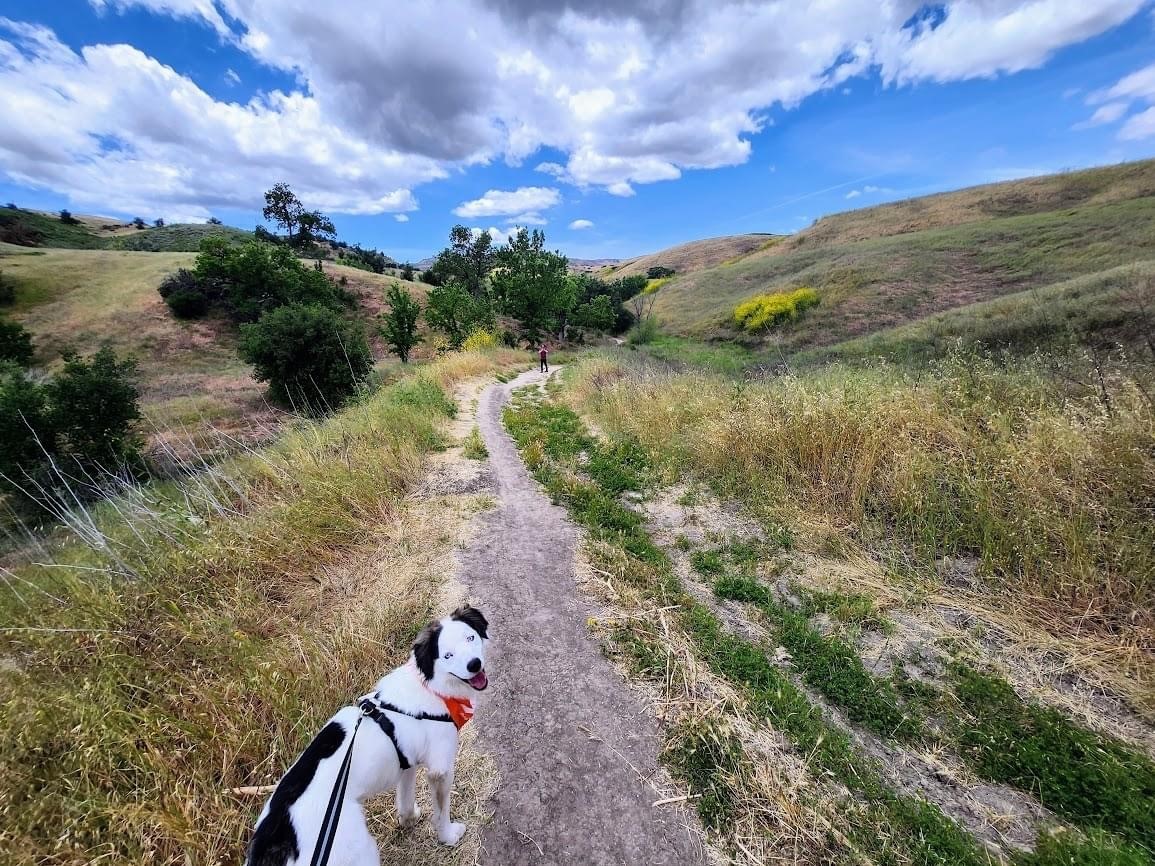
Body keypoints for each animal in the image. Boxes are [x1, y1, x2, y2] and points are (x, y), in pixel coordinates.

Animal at [246, 605, 489, 866]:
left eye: (470, 638)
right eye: (447, 656)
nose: (474, 664)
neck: (430, 688)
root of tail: (277, 839)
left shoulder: (408, 762)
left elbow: (404, 799)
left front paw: (409, 819)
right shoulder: (440, 770)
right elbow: (442, 812)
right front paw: (448, 836)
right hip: (362, 851)